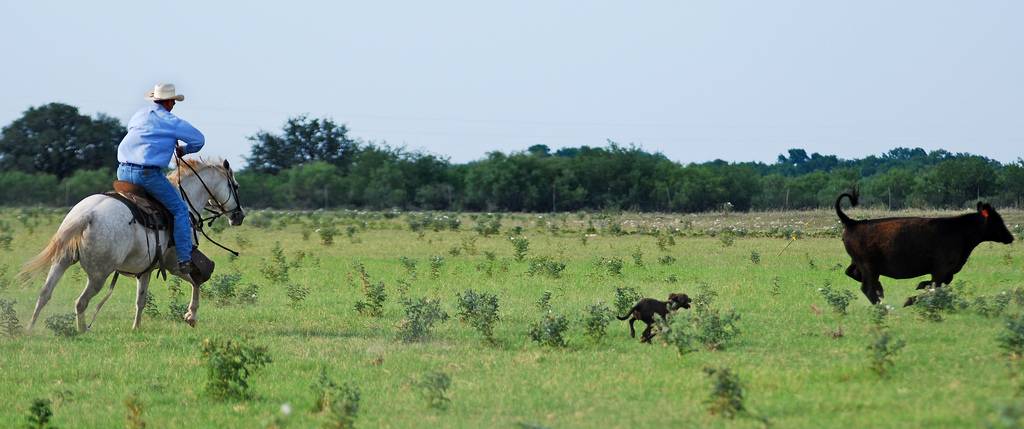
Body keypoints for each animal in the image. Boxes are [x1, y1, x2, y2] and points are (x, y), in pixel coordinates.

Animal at [20, 159, 245, 331]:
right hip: (99, 275)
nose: (239, 215)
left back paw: (30, 329)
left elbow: (141, 300)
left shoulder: (145, 269)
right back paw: (83, 331)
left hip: (62, 261)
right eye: (235, 186)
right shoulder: (175, 264)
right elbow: (196, 281)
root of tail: (88, 214)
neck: (186, 203)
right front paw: (191, 315)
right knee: (80, 302)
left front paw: (136, 327)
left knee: (44, 293)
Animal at [835, 188, 1011, 305]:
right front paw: (909, 299)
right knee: (867, 288)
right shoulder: (940, 269)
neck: (958, 231)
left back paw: (880, 290)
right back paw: (884, 306)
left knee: (851, 273)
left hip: (859, 263)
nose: (1010, 237)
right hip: (868, 266)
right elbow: (934, 287)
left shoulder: (947, 272)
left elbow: (934, 286)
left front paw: (920, 286)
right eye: (997, 220)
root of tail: (851, 222)